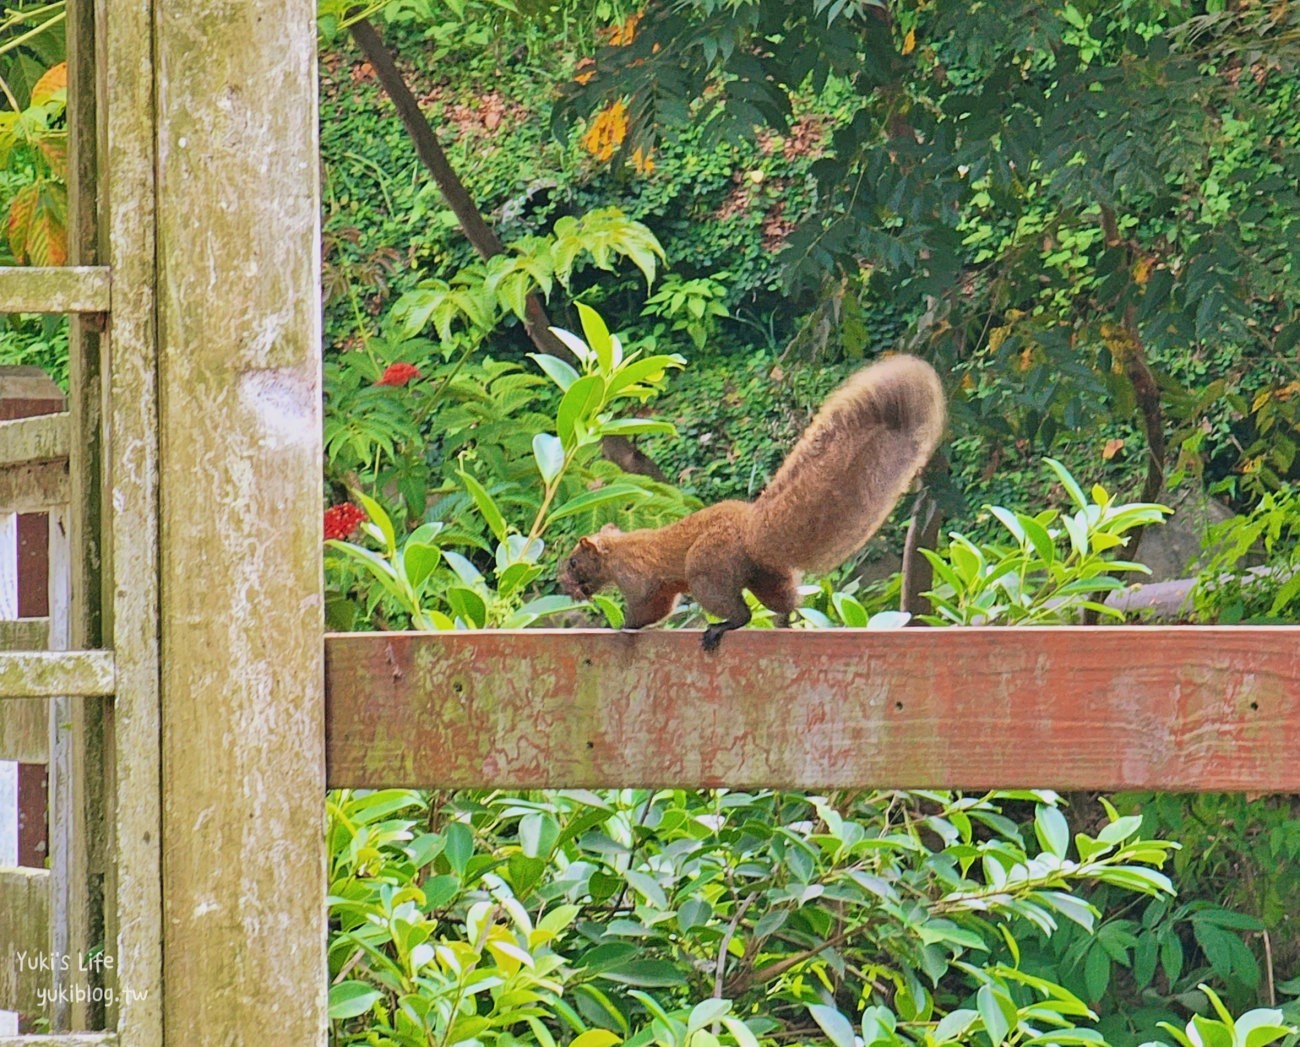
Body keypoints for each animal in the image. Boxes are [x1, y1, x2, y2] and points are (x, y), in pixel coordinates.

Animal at [559, 353, 946, 645]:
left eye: (574, 562)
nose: (566, 586)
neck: (615, 551)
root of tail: (752, 530)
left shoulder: (639, 578)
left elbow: (649, 608)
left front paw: (620, 626)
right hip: (766, 575)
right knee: (784, 600)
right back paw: (785, 622)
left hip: (708, 570)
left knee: (740, 613)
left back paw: (721, 628)